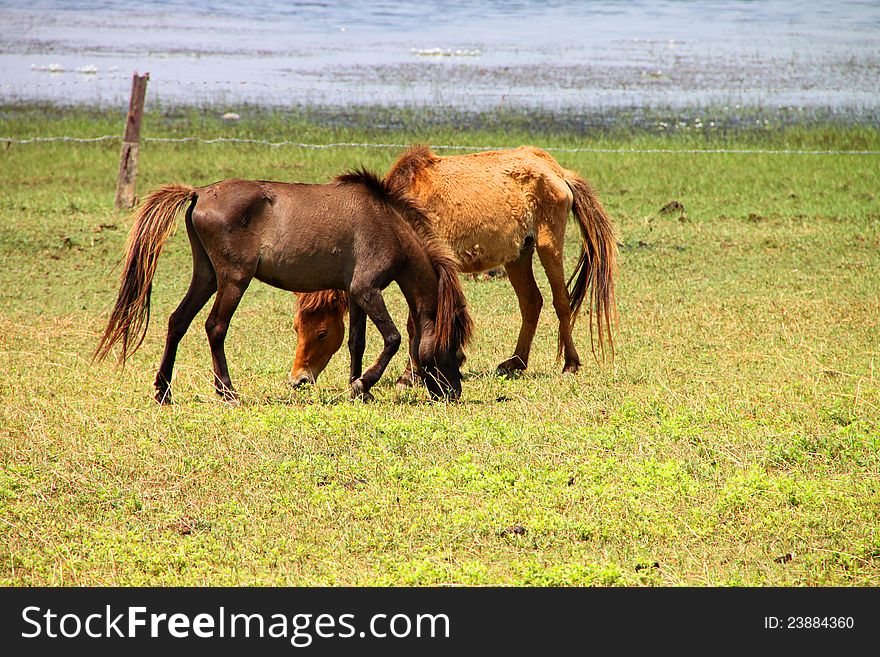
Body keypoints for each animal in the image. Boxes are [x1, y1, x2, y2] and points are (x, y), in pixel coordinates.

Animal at [96, 169, 474, 402]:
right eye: (454, 345)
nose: (452, 392)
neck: (389, 224)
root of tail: (200, 193)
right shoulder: (367, 290)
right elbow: (393, 338)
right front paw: (364, 382)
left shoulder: (355, 294)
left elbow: (357, 341)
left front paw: (359, 390)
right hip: (233, 279)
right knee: (215, 327)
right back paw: (227, 392)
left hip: (206, 276)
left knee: (178, 321)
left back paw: (163, 391)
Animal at [288, 146, 620, 386]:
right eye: (296, 328)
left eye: (322, 332)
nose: (299, 379)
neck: (400, 209)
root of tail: (557, 171)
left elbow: (415, 324)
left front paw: (410, 375)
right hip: (519, 255)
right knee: (531, 302)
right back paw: (515, 363)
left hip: (548, 245)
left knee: (560, 301)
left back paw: (570, 364)